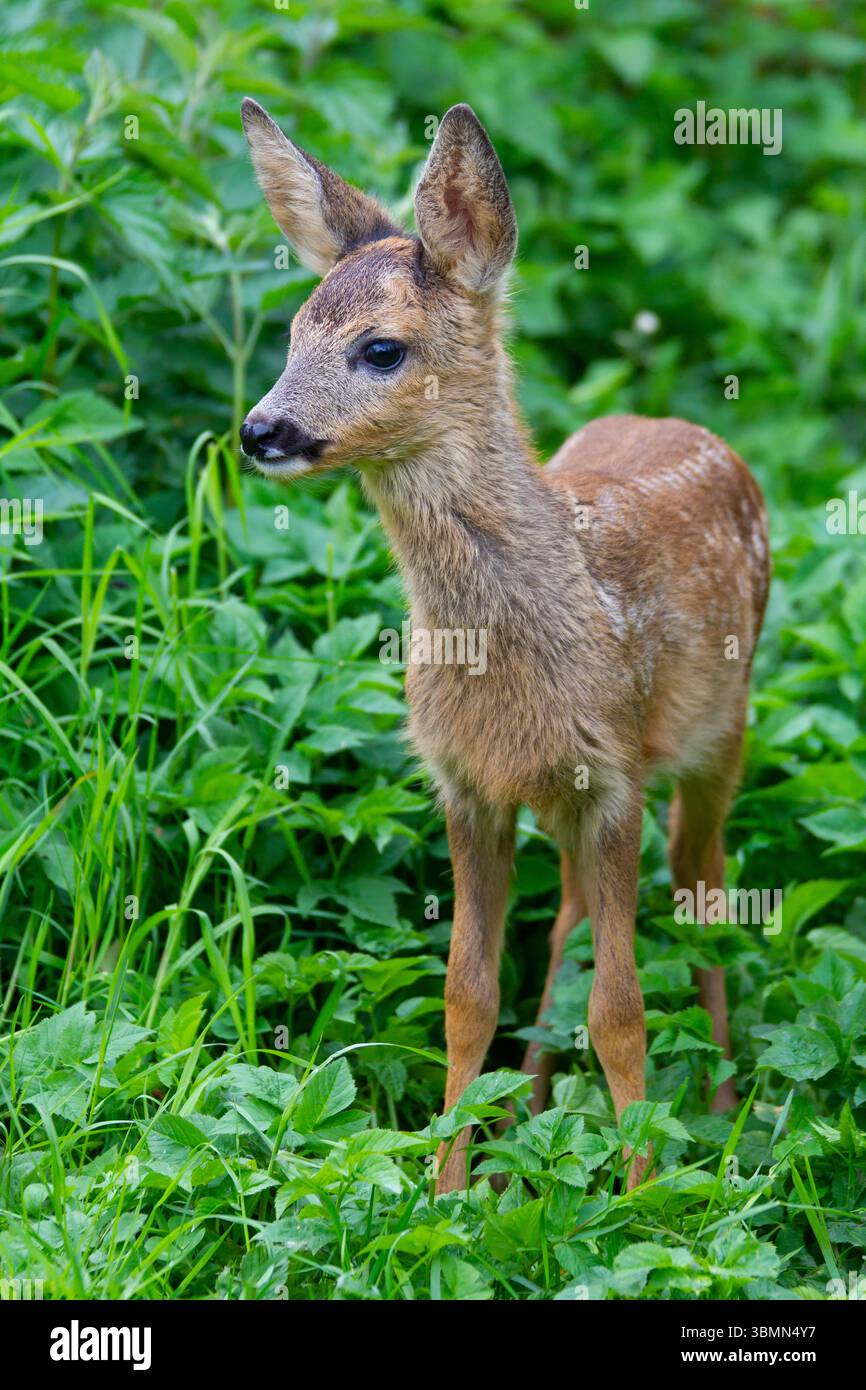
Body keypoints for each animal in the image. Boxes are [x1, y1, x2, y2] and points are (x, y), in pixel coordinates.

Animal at [239, 98, 770, 1194]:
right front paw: (443, 1189)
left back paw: (722, 1109)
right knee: (569, 916)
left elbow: (621, 1011)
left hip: (719, 735)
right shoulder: (467, 783)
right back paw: (531, 1103)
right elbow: (466, 995)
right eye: (293, 332)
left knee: (700, 884)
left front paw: (641, 1201)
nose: (260, 430)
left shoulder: (614, 769)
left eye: (380, 350)